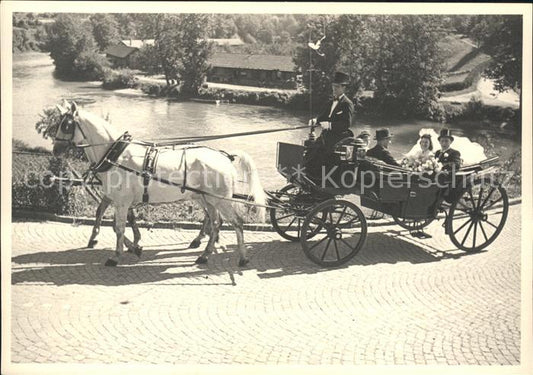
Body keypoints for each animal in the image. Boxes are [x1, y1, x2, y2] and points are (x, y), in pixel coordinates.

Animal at [54, 101, 266, 268]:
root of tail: (225, 157)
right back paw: (204, 254)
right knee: (215, 223)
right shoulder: (121, 201)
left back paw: (242, 258)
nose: (55, 150)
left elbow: (119, 228)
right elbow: (119, 224)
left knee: (236, 223)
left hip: (220, 200)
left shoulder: (121, 202)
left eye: (66, 126)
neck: (116, 155)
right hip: (208, 199)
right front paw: (135, 246)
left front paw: (116, 256)